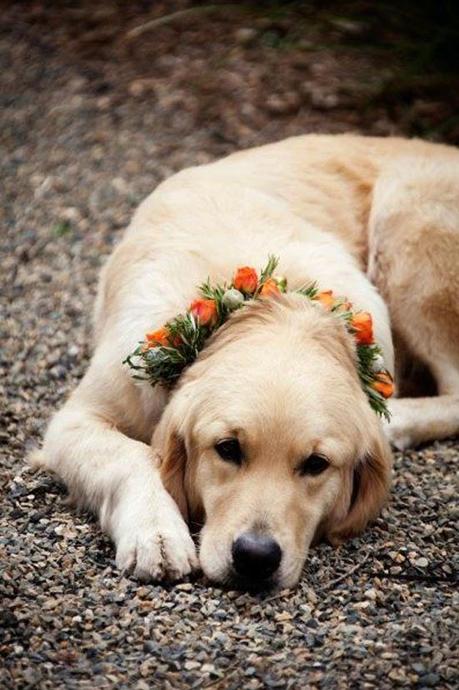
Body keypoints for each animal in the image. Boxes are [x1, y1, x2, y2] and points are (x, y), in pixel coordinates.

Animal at [32, 136, 459, 592]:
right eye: (228, 449)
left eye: (316, 464)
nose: (256, 557)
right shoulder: (77, 419)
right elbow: (130, 456)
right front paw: (156, 534)